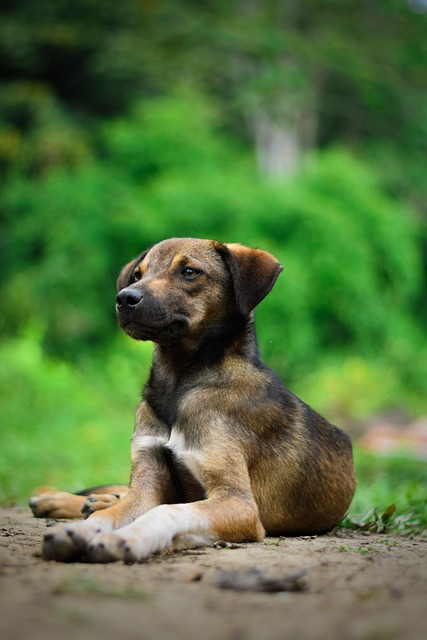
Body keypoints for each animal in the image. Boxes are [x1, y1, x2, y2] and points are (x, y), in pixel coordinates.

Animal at [31, 240, 356, 564]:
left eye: (189, 271)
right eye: (137, 274)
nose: (124, 298)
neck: (177, 387)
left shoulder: (239, 503)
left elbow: (165, 511)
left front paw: (124, 538)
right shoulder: (147, 478)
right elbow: (119, 512)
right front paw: (77, 530)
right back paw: (66, 499)